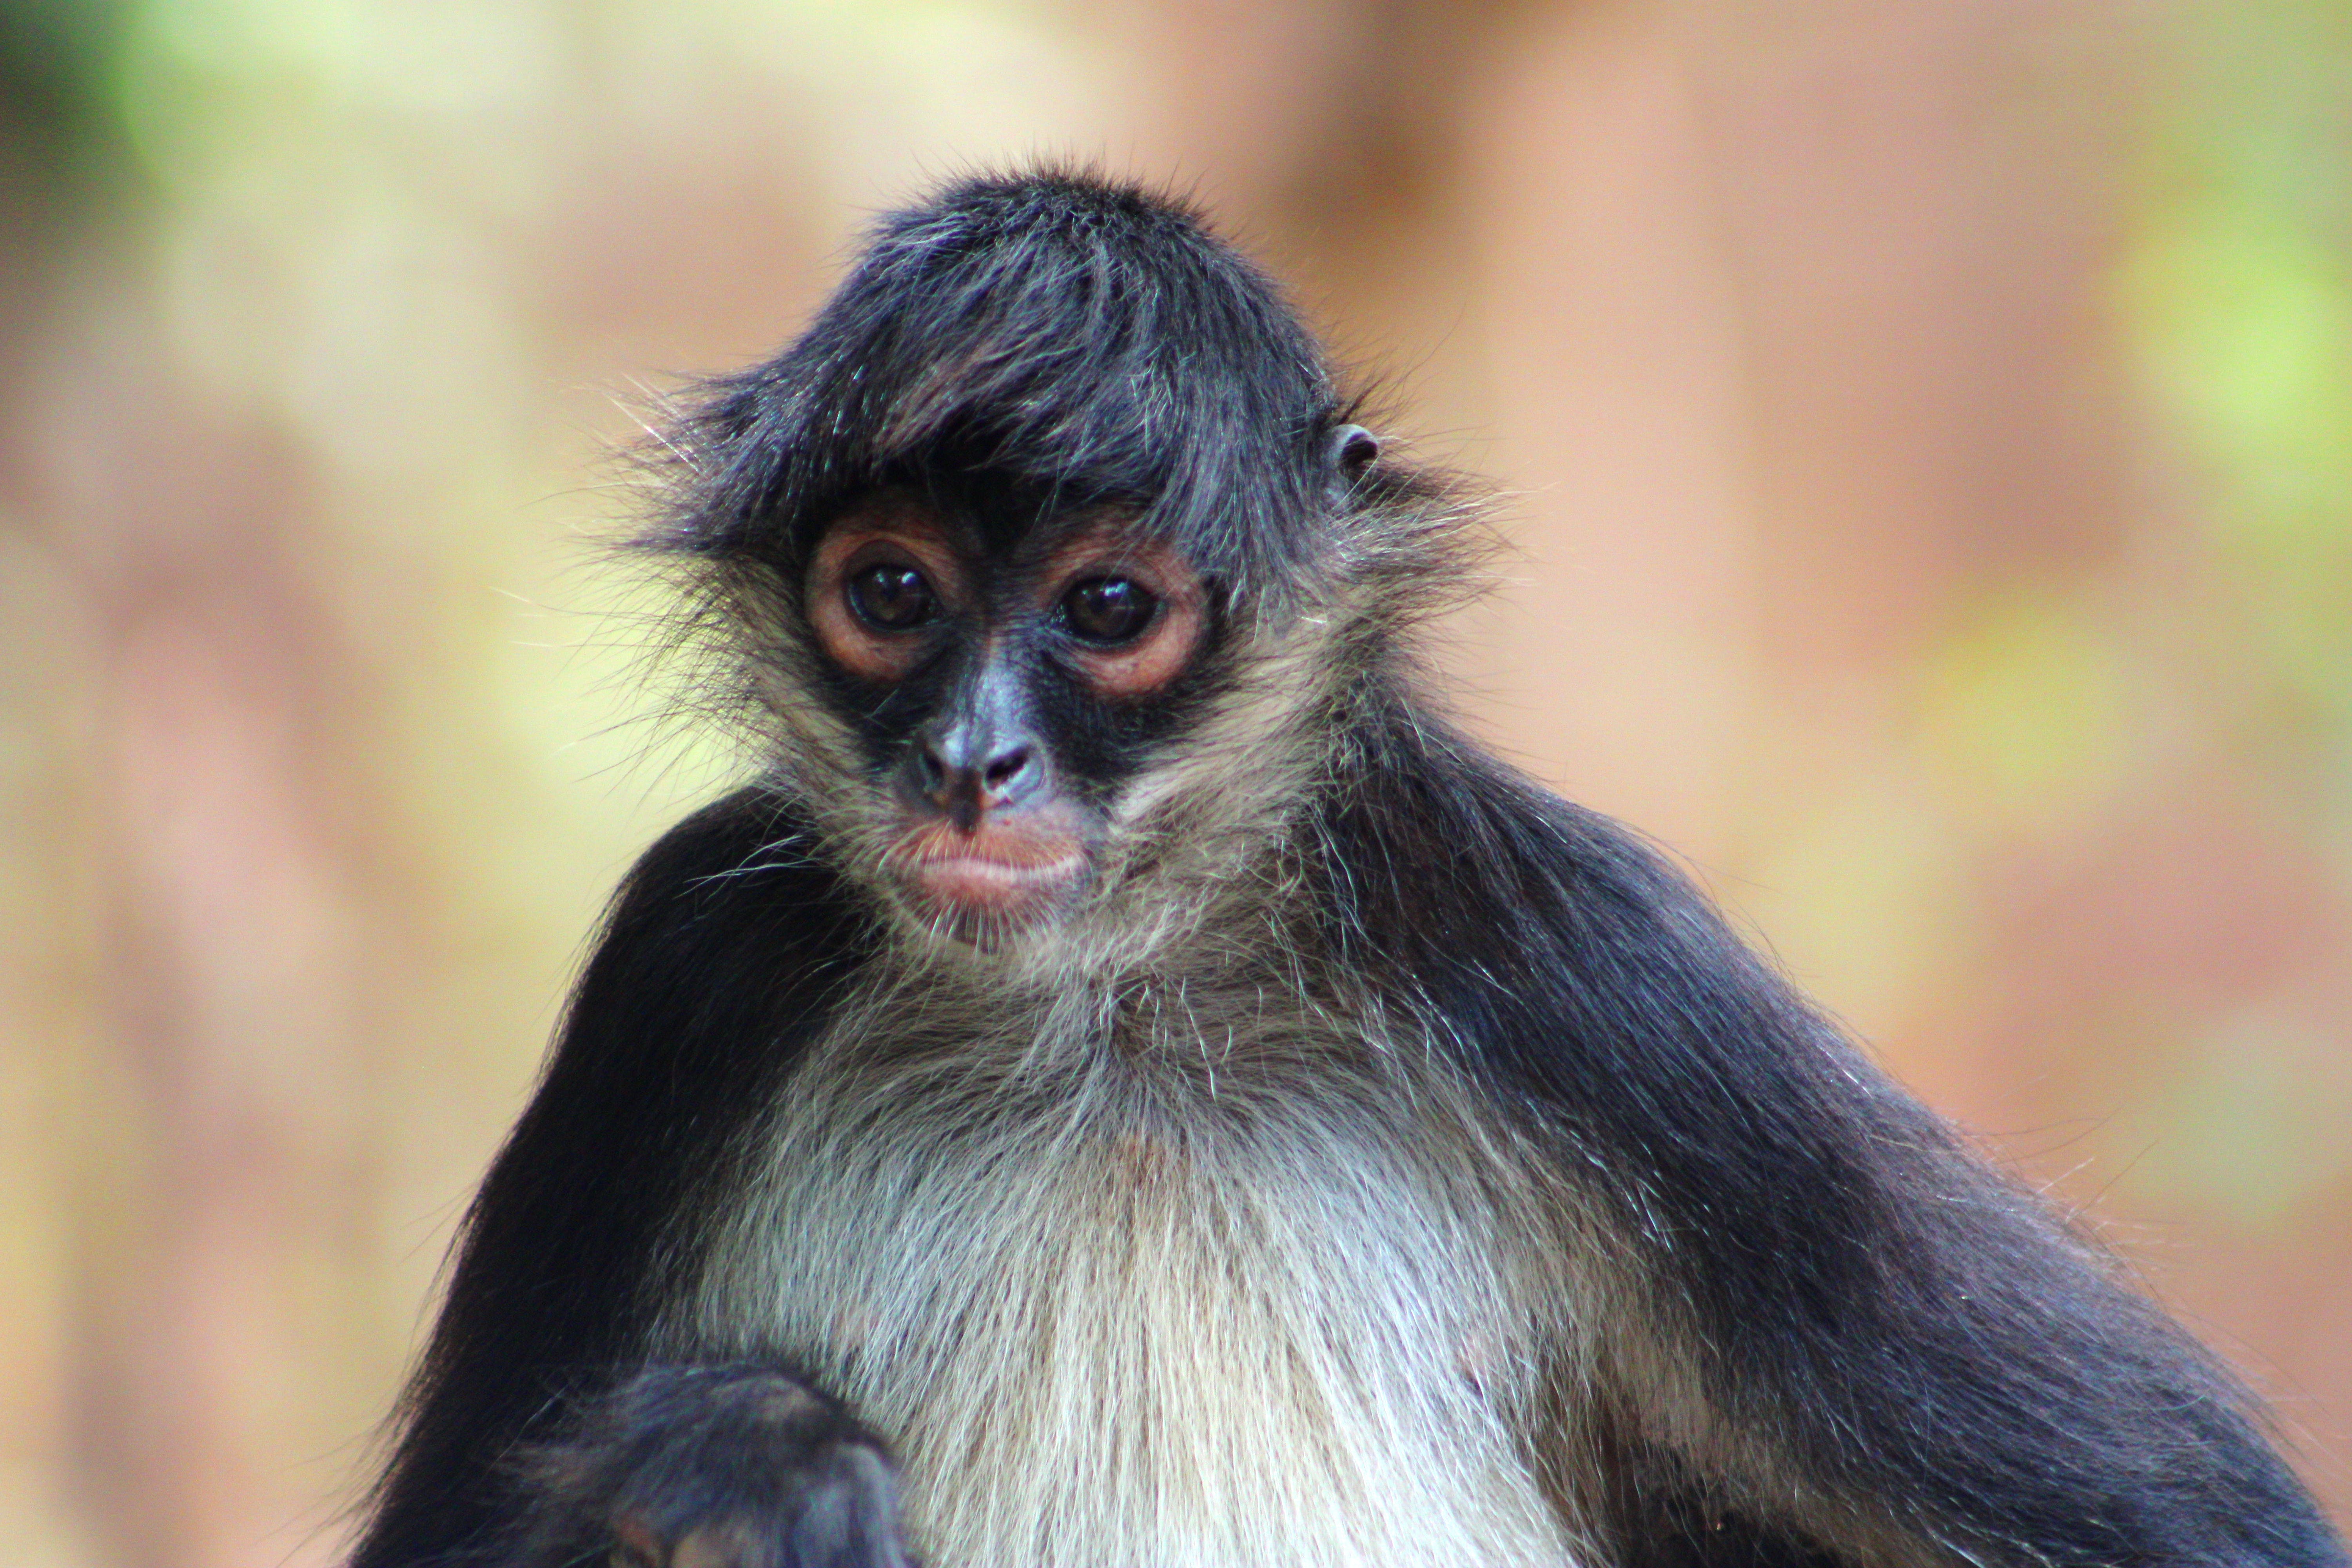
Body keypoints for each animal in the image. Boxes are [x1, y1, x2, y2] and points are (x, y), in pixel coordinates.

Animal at [350, 171, 2345, 1568]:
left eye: (1109, 607)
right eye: (890, 590)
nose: (972, 764)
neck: (1113, 1014)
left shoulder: (1583, 960)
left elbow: (2212, 1516)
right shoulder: (695, 953)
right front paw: (730, 1456)